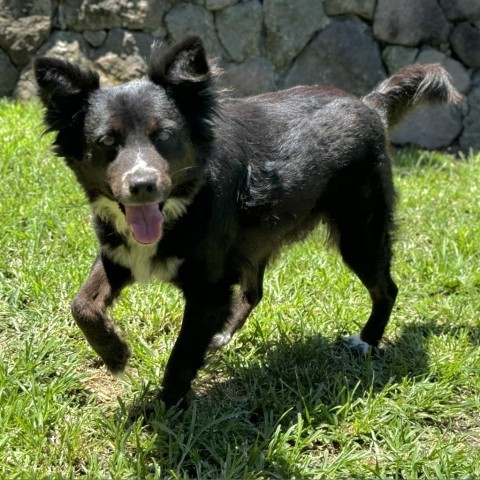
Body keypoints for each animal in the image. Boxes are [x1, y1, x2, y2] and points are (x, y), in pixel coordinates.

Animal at [33, 35, 462, 408]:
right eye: (107, 142)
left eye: (165, 136)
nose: (142, 186)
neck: (181, 205)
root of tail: (369, 104)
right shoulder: (119, 251)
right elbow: (82, 304)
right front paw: (116, 354)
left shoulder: (208, 287)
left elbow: (182, 353)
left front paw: (166, 409)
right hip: (257, 239)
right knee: (254, 290)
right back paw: (222, 334)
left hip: (360, 229)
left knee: (386, 287)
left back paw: (366, 342)